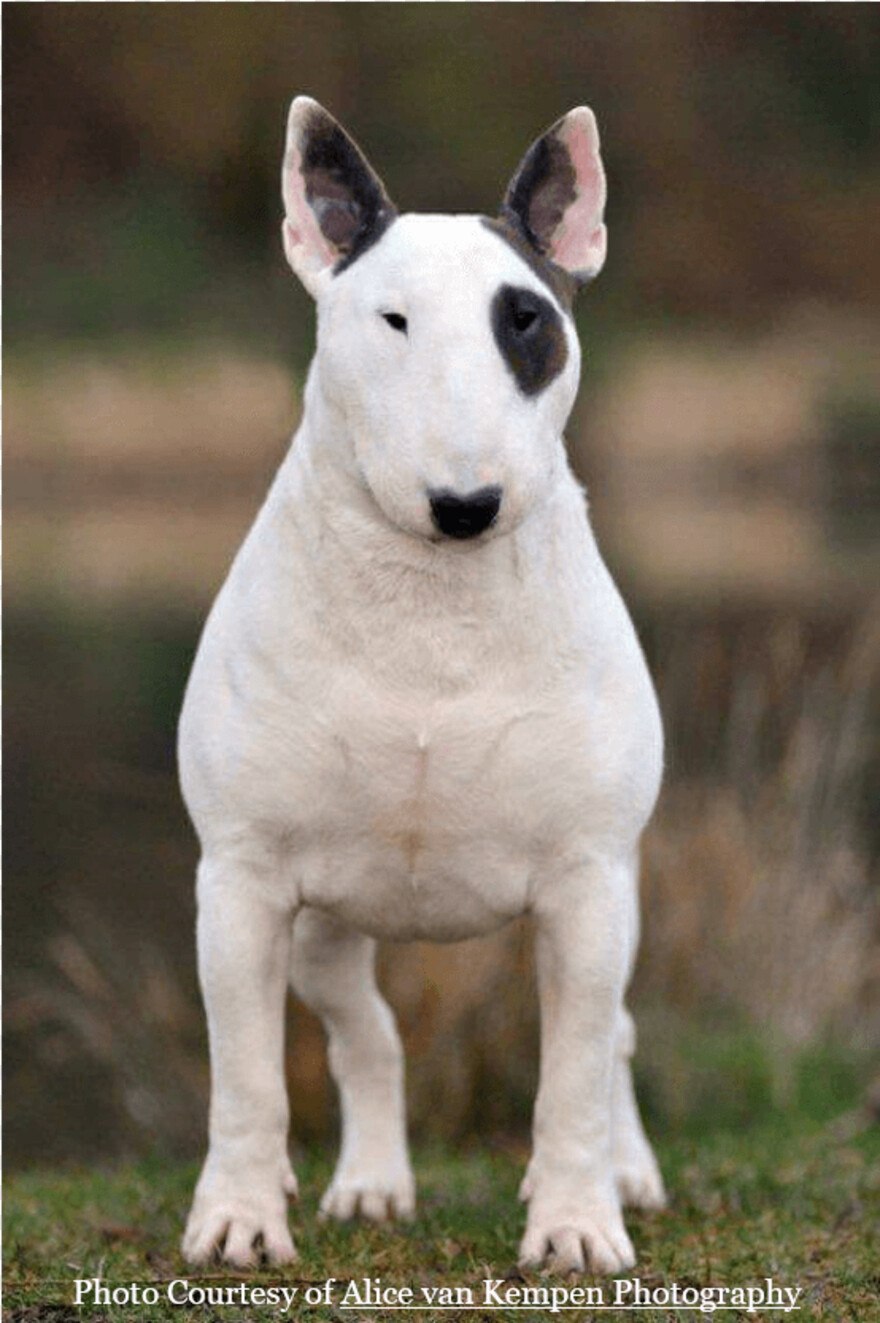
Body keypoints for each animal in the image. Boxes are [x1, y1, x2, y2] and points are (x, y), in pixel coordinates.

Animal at [179, 97, 666, 1275]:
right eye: (390, 320)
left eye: (528, 320)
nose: (466, 504)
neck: (432, 609)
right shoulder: (241, 883)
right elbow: (247, 1076)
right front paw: (238, 1219)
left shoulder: (587, 885)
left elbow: (575, 1072)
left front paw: (576, 1222)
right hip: (322, 929)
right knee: (368, 1033)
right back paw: (370, 1184)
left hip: (622, 897)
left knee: (615, 1037)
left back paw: (625, 1171)